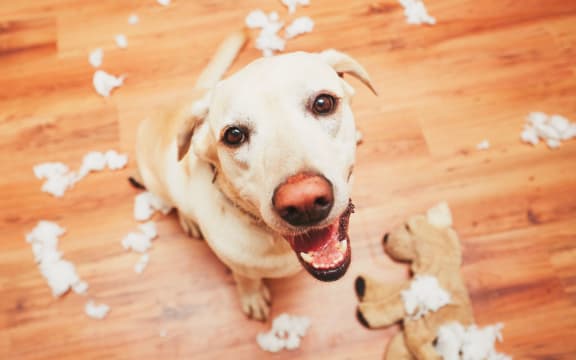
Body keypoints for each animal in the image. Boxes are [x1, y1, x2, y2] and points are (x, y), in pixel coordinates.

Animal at [136, 30, 378, 318]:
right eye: (234, 135)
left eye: (322, 103)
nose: (304, 202)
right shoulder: (239, 266)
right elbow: (246, 279)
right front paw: (252, 296)